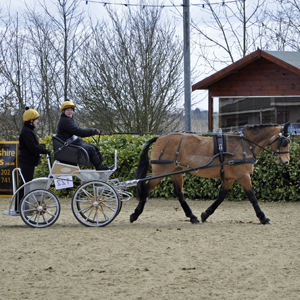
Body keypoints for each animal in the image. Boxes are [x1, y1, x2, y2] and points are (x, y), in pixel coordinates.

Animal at [129, 122, 290, 225]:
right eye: (284, 142)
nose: (286, 161)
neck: (244, 144)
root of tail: (161, 138)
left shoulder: (230, 178)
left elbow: (220, 197)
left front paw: (205, 214)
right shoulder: (243, 176)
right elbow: (252, 197)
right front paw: (263, 218)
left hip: (176, 171)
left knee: (179, 193)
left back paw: (192, 217)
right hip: (162, 171)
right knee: (146, 189)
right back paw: (135, 214)